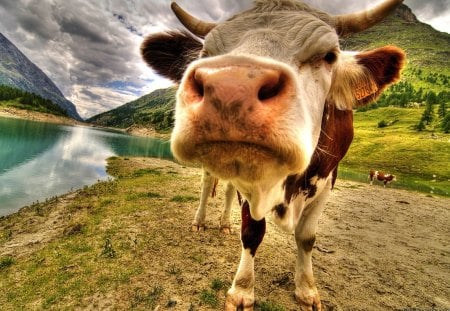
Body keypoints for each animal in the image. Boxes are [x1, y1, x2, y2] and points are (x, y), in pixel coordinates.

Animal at [142, 0, 406, 310]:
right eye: (206, 55)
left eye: (330, 56)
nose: (231, 88)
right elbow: (252, 231)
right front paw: (243, 290)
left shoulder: (330, 177)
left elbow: (307, 237)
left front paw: (306, 289)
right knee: (208, 185)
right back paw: (200, 221)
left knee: (228, 189)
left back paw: (224, 224)